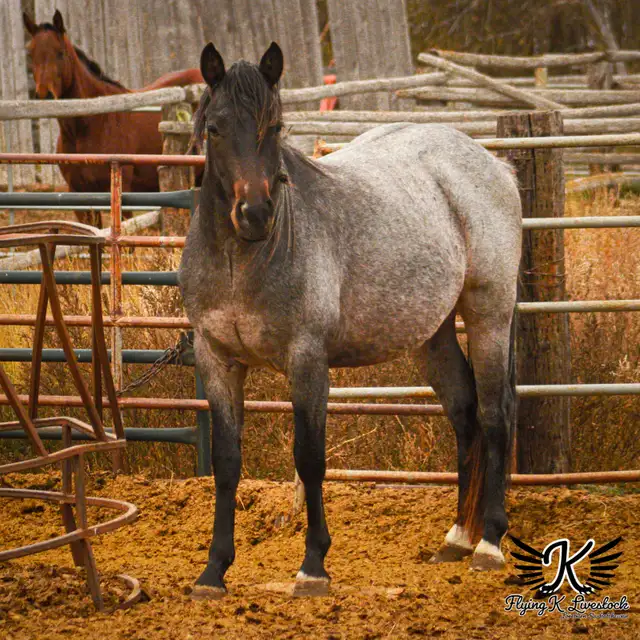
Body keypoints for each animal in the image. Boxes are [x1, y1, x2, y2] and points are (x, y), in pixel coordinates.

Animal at [178, 41, 522, 599]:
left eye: (276, 126)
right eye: (214, 127)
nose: (255, 214)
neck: (243, 261)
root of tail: (493, 164)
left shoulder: (307, 362)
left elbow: (310, 458)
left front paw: (313, 566)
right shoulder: (218, 361)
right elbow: (227, 463)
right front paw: (213, 572)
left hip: (489, 313)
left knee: (495, 416)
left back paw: (489, 543)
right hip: (432, 336)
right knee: (465, 414)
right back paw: (456, 539)